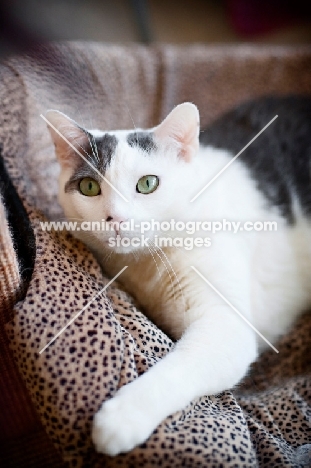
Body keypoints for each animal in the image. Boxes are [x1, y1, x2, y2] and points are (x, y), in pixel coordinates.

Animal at [45, 96, 311, 458]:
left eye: (147, 184)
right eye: (89, 187)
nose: (116, 218)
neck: (145, 262)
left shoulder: (226, 325)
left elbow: (177, 369)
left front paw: (123, 416)